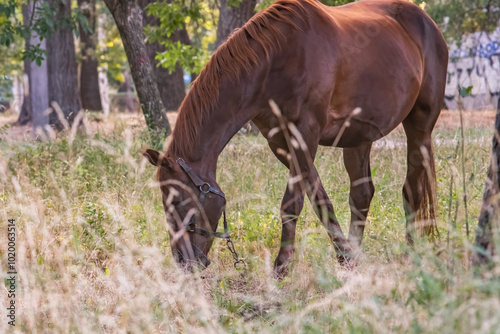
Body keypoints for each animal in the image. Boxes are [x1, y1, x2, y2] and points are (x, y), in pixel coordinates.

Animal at [142, 0, 450, 274]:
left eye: (177, 201)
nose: (183, 261)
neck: (274, 60)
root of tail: (427, 23)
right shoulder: (282, 143)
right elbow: (319, 199)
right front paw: (346, 257)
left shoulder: (305, 134)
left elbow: (292, 203)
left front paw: (281, 267)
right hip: (359, 137)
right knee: (362, 194)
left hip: (420, 125)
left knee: (412, 188)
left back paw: (411, 252)